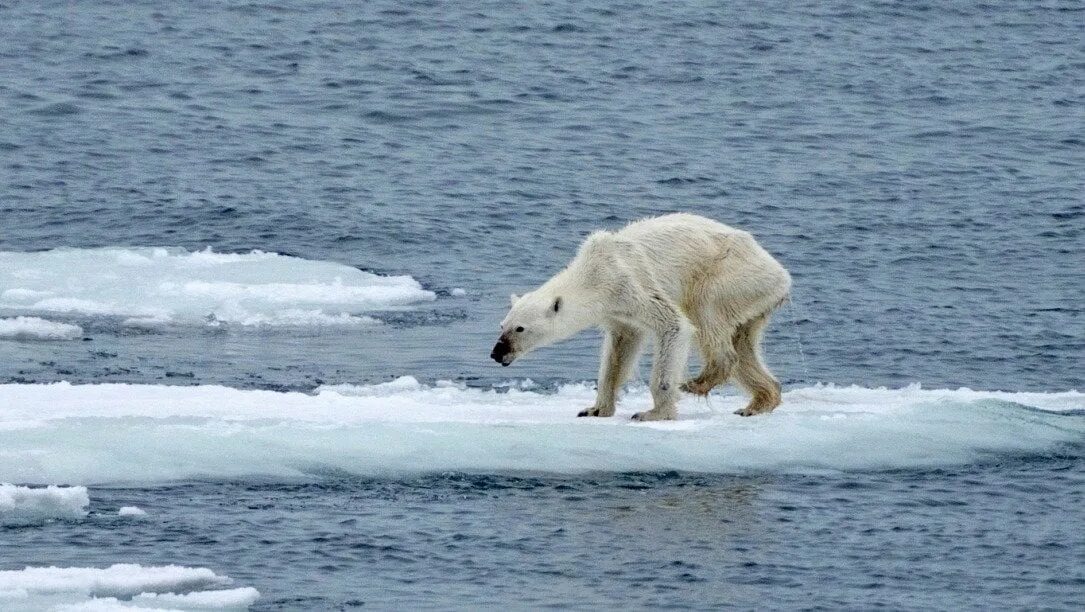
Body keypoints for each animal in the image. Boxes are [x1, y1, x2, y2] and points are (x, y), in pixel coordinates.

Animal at [492, 211, 789, 421]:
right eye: (502, 325)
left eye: (519, 328)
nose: (497, 353)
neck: (594, 273)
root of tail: (782, 275)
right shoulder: (616, 311)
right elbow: (619, 350)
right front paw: (595, 409)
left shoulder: (630, 283)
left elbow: (674, 325)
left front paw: (653, 413)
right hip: (753, 298)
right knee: (744, 344)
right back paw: (758, 402)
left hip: (730, 275)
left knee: (706, 312)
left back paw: (697, 382)